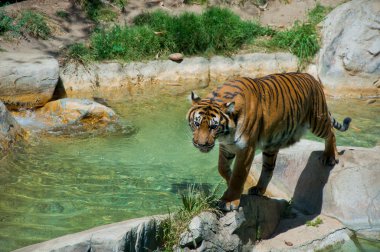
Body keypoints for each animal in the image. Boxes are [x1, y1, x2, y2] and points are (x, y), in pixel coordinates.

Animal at [186, 72, 350, 212]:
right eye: (196, 123)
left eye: (213, 126)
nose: (201, 144)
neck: (225, 134)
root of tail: (311, 77)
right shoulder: (226, 147)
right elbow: (222, 168)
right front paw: (231, 183)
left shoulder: (246, 149)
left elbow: (239, 175)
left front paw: (230, 200)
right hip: (271, 145)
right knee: (268, 168)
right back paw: (258, 189)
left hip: (317, 120)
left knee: (331, 132)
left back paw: (330, 156)